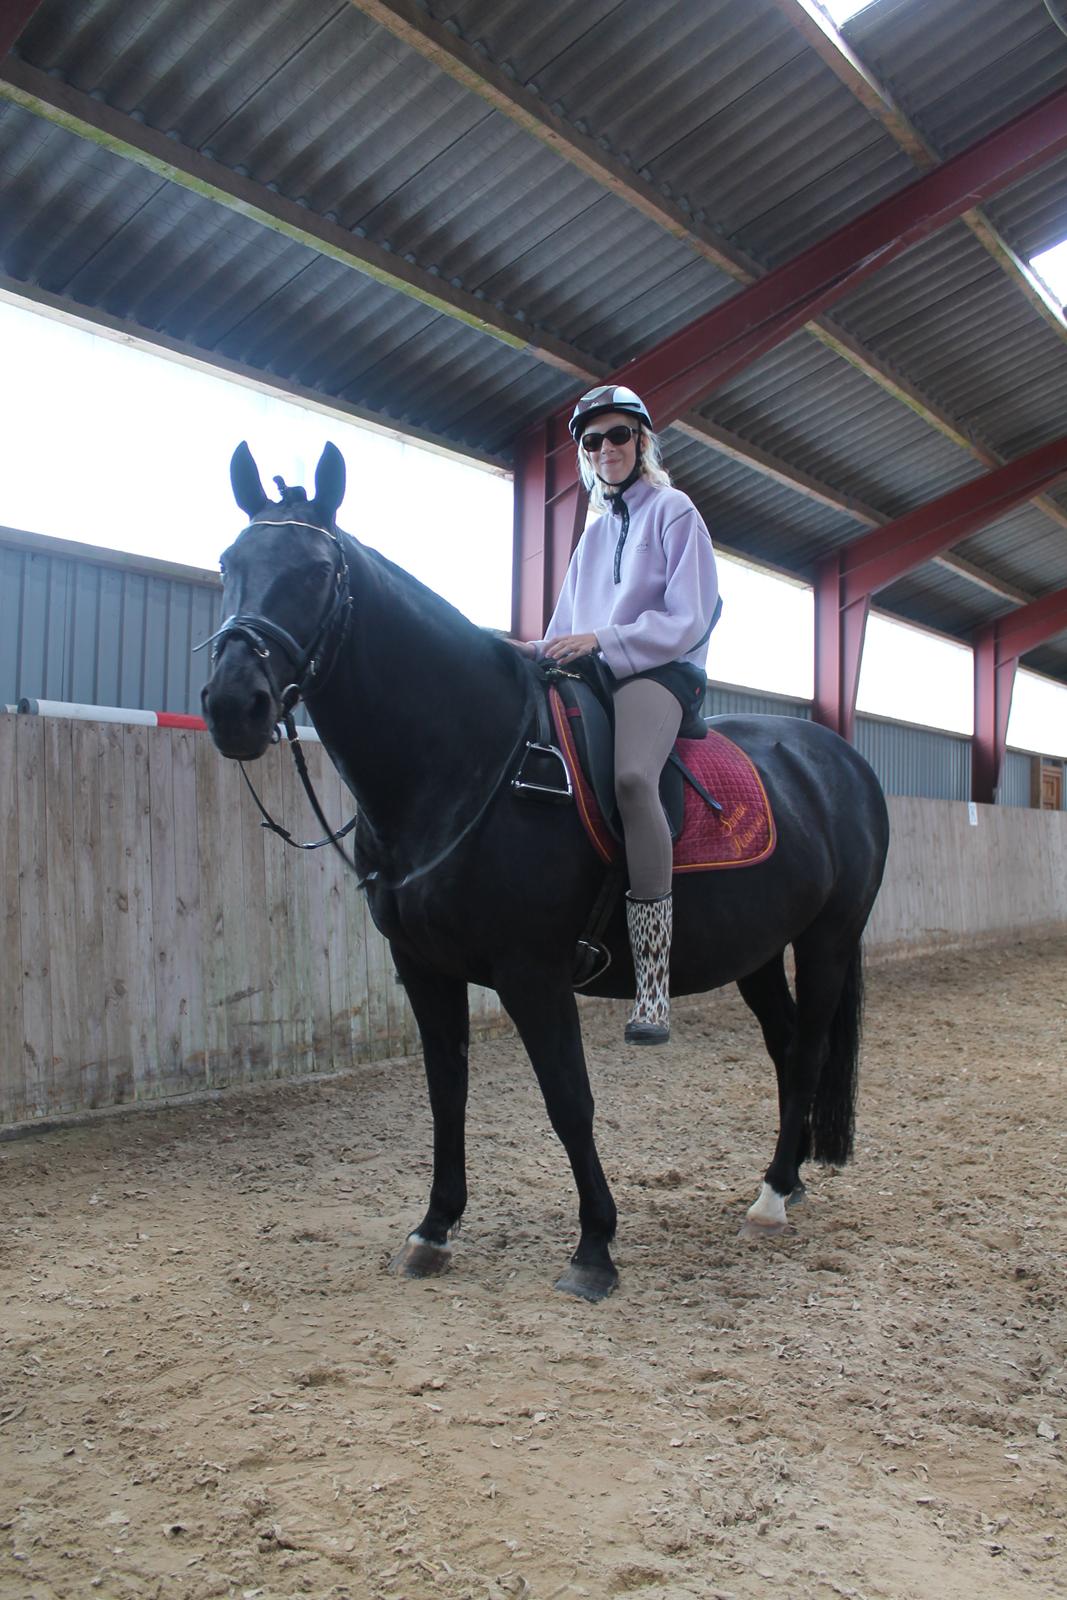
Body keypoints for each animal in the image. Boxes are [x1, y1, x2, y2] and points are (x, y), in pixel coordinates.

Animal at [204, 441, 889, 1299]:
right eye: (229, 561)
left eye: (318, 573)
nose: (233, 704)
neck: (467, 760)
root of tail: (840, 760)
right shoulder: (422, 967)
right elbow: (446, 1092)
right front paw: (433, 1228)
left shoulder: (531, 972)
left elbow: (569, 1101)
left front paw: (594, 1246)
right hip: (759, 951)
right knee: (785, 1042)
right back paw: (787, 1180)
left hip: (827, 938)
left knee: (805, 1052)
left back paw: (768, 1198)